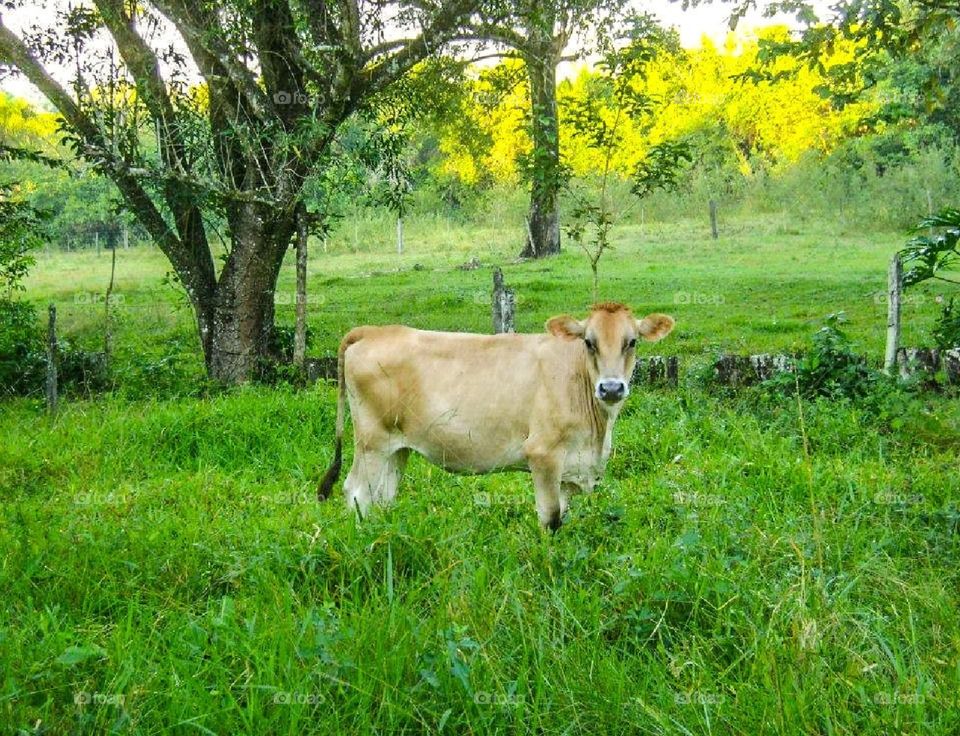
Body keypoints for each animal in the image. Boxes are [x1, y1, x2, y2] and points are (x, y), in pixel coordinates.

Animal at [316, 304, 676, 528]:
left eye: (632, 342)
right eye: (589, 342)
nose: (611, 387)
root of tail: (375, 330)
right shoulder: (543, 455)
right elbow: (550, 517)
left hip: (397, 447)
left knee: (383, 497)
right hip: (371, 442)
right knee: (356, 492)